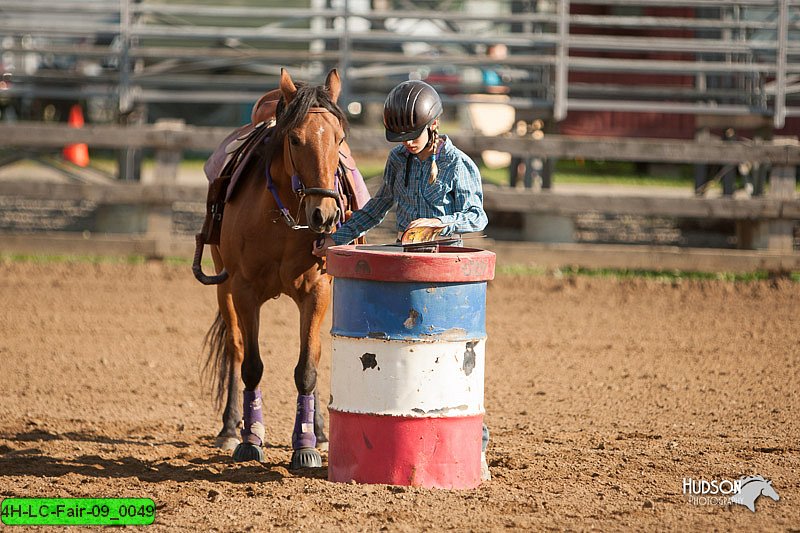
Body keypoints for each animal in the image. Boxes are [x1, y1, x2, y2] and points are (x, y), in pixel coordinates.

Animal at [200, 68, 350, 468]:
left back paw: (323, 432)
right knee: (235, 347)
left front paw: (306, 444)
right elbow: (251, 364)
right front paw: (250, 439)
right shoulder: (244, 289)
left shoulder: (318, 290)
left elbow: (308, 367)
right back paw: (229, 428)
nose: (324, 215)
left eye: (340, 138)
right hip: (224, 288)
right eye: (295, 139)